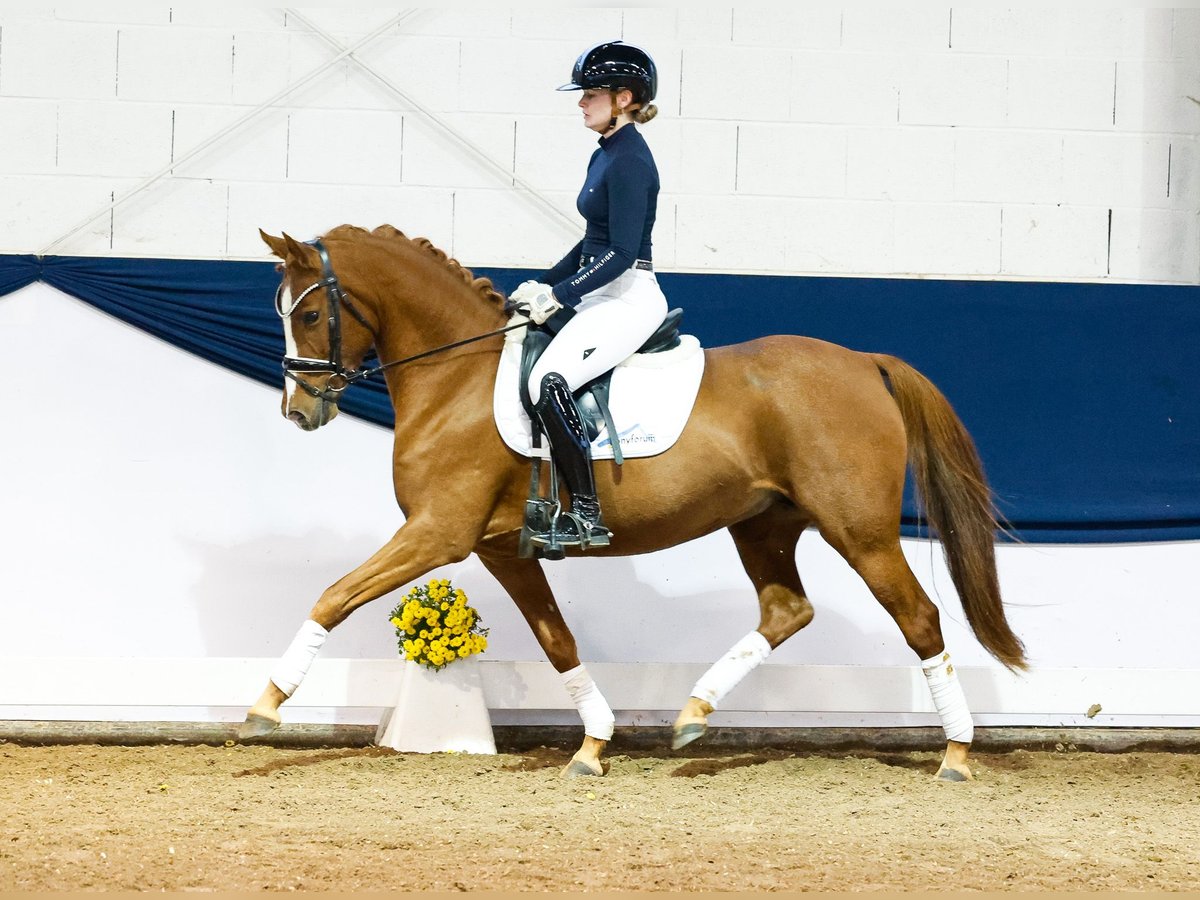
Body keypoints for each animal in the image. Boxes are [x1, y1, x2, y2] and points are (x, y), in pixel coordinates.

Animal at [246, 225, 1032, 782]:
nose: (299, 410)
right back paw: (692, 713)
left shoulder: (438, 532)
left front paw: (266, 705)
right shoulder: (502, 549)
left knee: (919, 618)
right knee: (787, 611)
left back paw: (956, 755)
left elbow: (333, 595)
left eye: (309, 313)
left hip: (859, 530)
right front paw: (593, 745)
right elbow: (558, 641)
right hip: (763, 524)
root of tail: (866, 361)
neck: (456, 376)